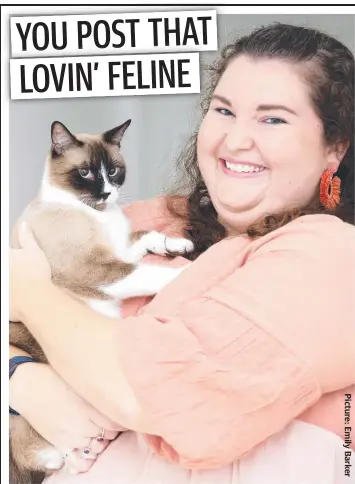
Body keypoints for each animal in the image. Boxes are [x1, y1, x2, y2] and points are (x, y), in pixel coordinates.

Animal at [10, 119, 195, 482]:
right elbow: (146, 272)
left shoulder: (120, 250)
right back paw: (70, 459)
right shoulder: (93, 269)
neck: (99, 214)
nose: (107, 193)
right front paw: (184, 271)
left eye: (113, 171)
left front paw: (179, 247)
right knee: (38, 453)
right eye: (84, 173)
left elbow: (148, 238)